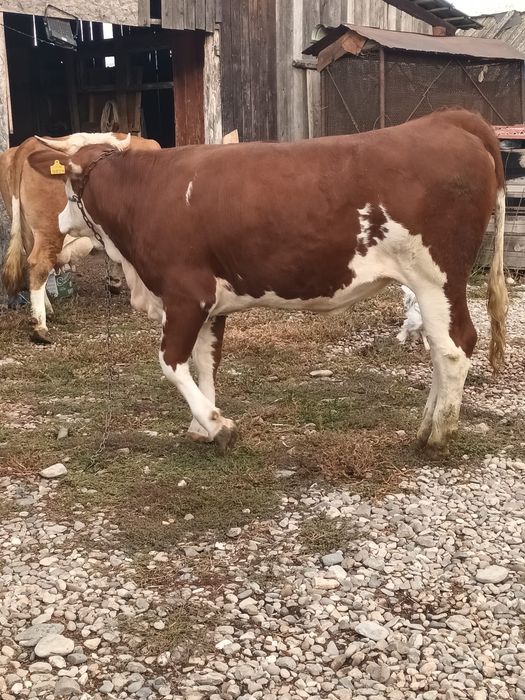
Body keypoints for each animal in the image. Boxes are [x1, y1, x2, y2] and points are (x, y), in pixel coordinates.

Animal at [0, 133, 161, 343]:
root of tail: (25, 146)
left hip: (28, 231)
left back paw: (47, 310)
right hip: (50, 229)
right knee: (39, 264)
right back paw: (40, 326)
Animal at [28, 108, 508, 453]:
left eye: (69, 187)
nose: (60, 220)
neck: (143, 192)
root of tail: (449, 119)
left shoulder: (186, 294)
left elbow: (171, 363)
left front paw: (217, 426)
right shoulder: (210, 302)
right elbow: (205, 361)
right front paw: (201, 424)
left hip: (437, 276)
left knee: (454, 348)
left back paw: (437, 434)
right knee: (444, 349)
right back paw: (428, 424)